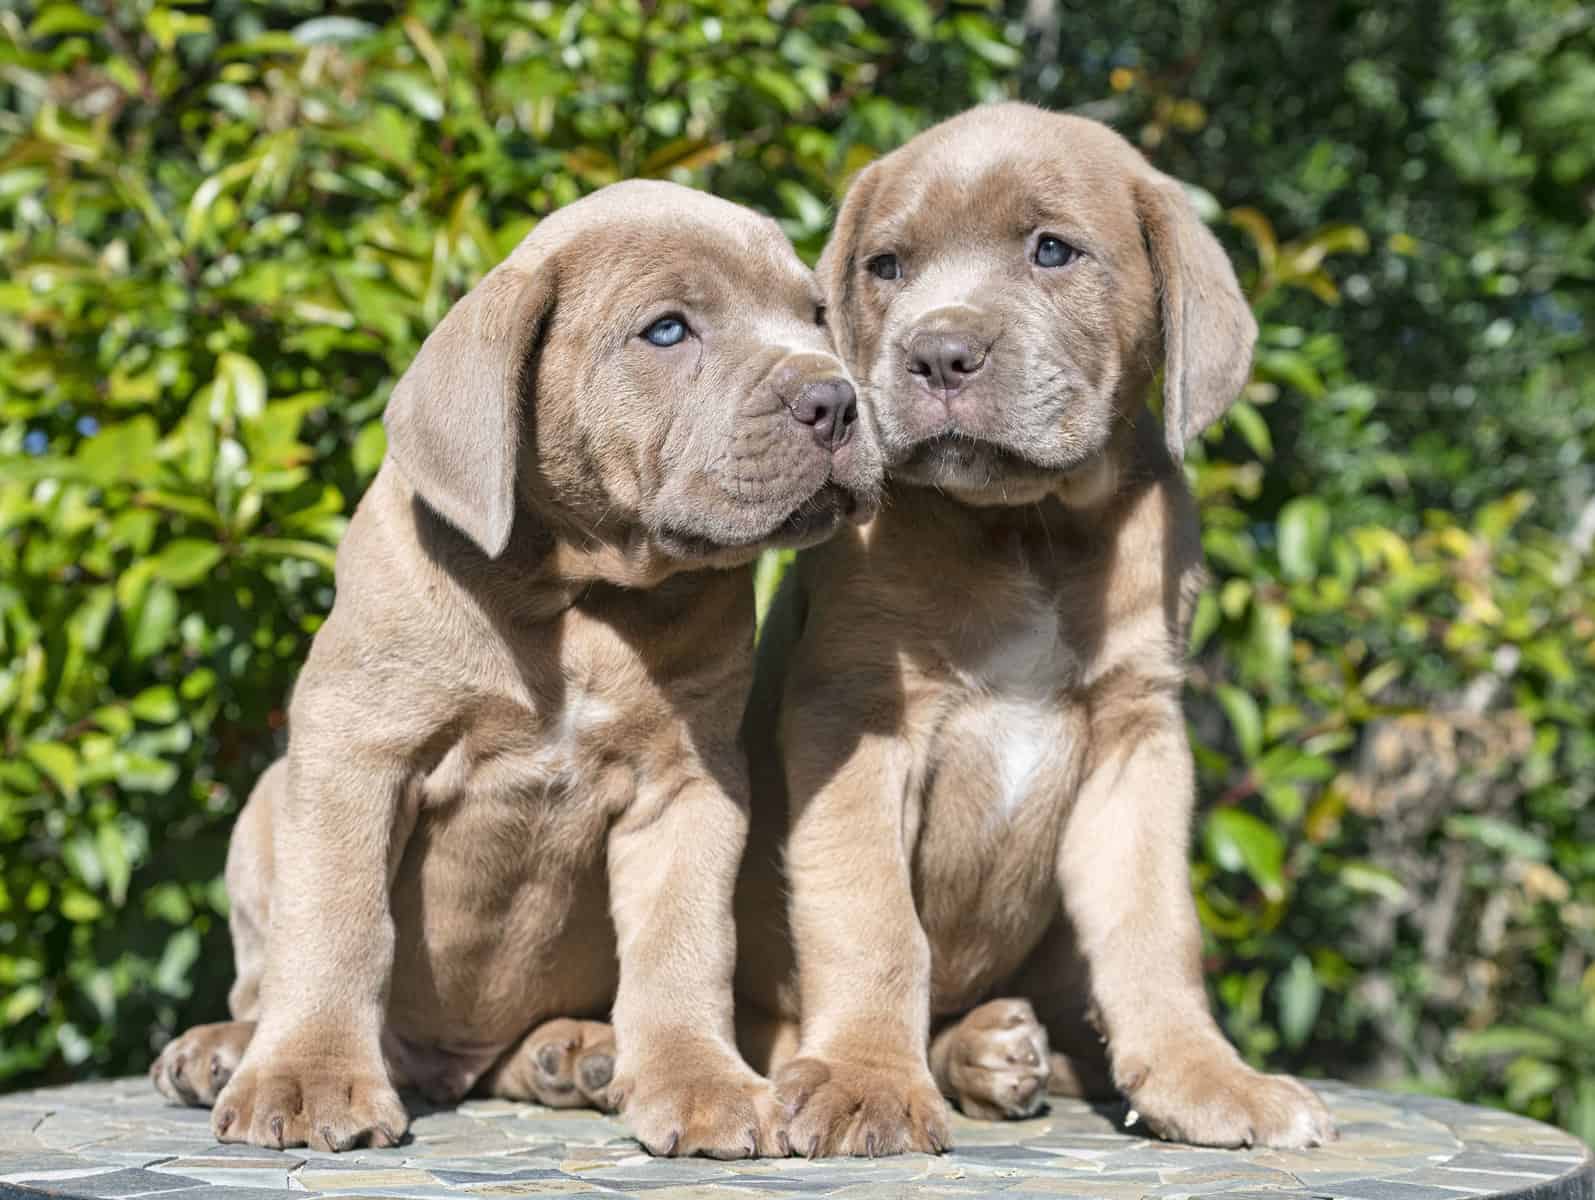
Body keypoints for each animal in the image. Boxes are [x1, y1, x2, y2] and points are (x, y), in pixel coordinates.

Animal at [146, 182, 886, 1155]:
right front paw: (307, 1078)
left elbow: (682, 944)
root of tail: (448, 1065)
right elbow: (338, 919)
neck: (575, 596)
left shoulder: (687, 785)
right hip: (264, 810)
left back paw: (576, 1053)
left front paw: (703, 1086)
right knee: (263, 979)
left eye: (814, 316)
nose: (835, 401)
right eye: (666, 331)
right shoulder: (355, 748)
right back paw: (227, 1050)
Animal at [733, 102, 1333, 1155]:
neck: (1028, 529)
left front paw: (1206, 1079)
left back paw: (997, 1053)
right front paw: (866, 1081)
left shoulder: (1139, 736)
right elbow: (871, 915)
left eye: (1052, 250)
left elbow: (1153, 929)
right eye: (885, 266)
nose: (936, 354)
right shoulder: (853, 712)